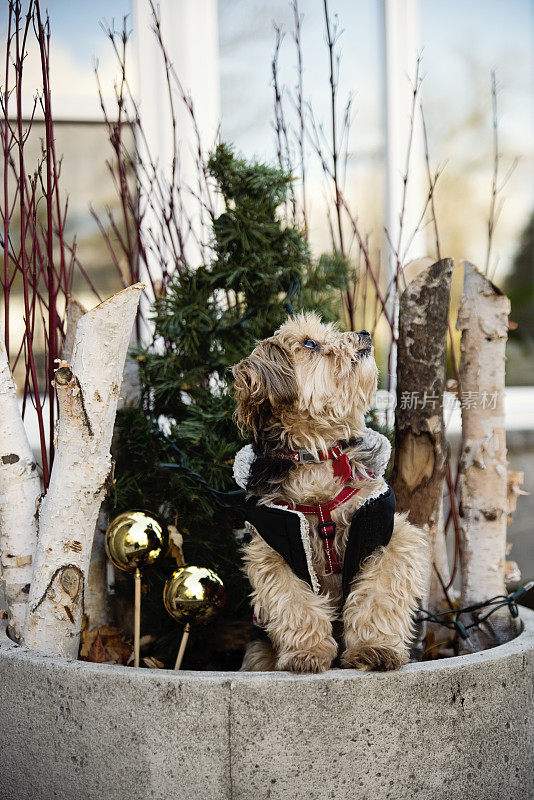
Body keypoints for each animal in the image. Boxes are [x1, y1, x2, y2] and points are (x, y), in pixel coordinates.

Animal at [232, 310, 430, 672]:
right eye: (310, 342)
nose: (365, 333)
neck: (318, 456)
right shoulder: (274, 551)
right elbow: (294, 603)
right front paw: (307, 653)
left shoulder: (387, 535)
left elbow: (378, 595)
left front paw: (375, 648)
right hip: (257, 654)